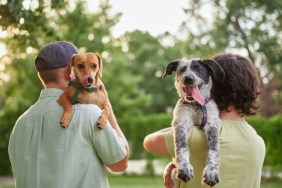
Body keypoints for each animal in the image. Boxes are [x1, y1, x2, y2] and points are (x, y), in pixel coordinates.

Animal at [163, 58, 225, 187]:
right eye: (182, 69)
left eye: (198, 69)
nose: (188, 78)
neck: (196, 105)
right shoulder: (181, 124)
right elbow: (181, 147)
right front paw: (185, 168)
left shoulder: (212, 125)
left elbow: (213, 150)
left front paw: (211, 172)